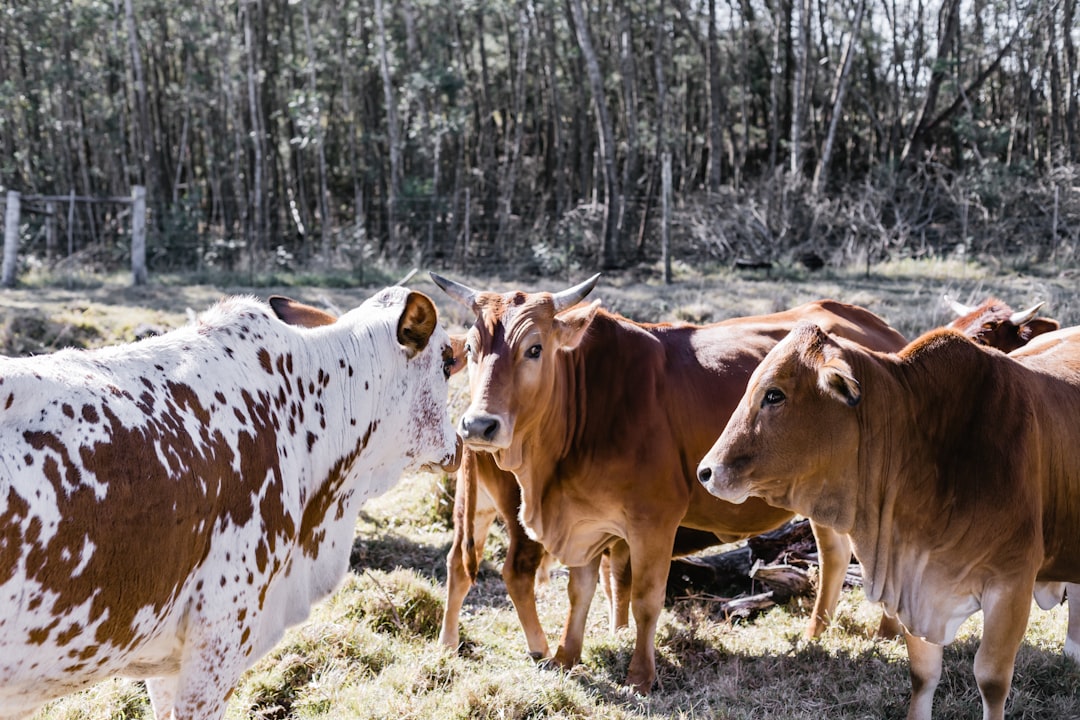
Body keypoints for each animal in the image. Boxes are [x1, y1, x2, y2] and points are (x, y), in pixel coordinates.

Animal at [425, 273, 907, 695]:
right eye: (471, 348)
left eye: (535, 348)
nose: (479, 425)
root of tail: (883, 332)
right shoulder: (584, 519)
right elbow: (580, 591)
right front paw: (565, 656)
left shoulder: (652, 521)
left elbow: (644, 599)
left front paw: (640, 676)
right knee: (834, 554)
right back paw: (815, 633)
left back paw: (887, 632)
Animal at [699, 325, 1080, 720]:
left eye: (774, 394)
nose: (706, 472)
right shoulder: (912, 580)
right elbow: (923, 674)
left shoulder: (1011, 585)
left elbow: (991, 680)